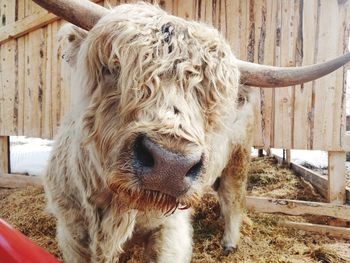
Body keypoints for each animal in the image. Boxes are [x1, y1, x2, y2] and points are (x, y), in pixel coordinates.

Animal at [32, 1, 350, 262]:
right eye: (113, 66)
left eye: (211, 95)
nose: (169, 165)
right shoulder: (71, 231)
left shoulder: (169, 231)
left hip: (238, 162)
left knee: (233, 199)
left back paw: (229, 244)